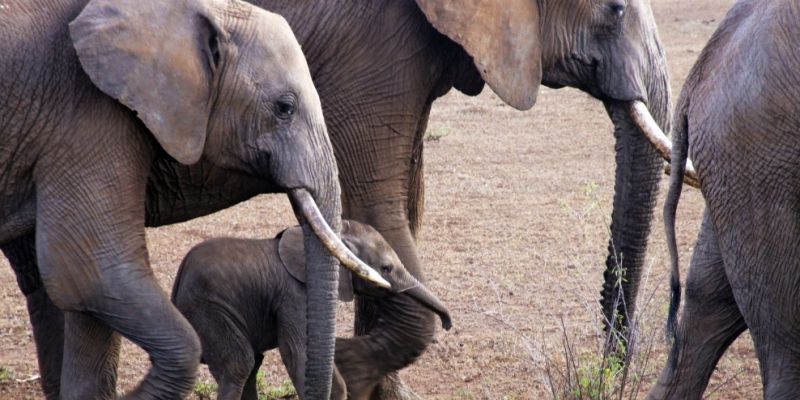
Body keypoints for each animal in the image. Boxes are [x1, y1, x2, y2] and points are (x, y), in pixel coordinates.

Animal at [172, 220, 454, 398]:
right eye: (386, 268)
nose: (448, 323)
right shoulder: (294, 295)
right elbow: (298, 353)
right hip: (207, 310)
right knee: (239, 365)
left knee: (251, 366)